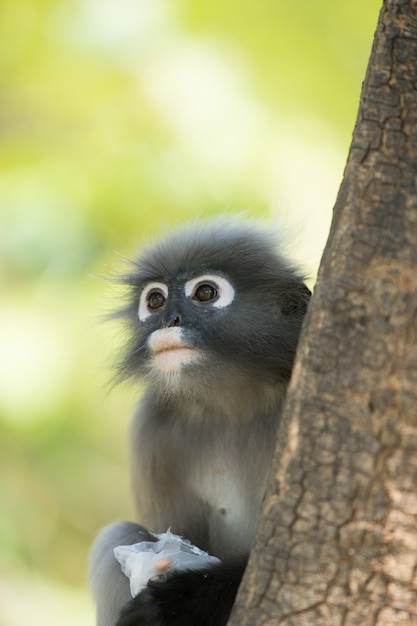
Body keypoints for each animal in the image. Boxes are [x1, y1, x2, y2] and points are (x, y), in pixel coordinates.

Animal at [88, 216, 308, 624]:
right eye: (155, 300)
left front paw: (176, 600)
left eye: (205, 293)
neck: (234, 403)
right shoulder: (151, 428)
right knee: (118, 535)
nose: (167, 320)